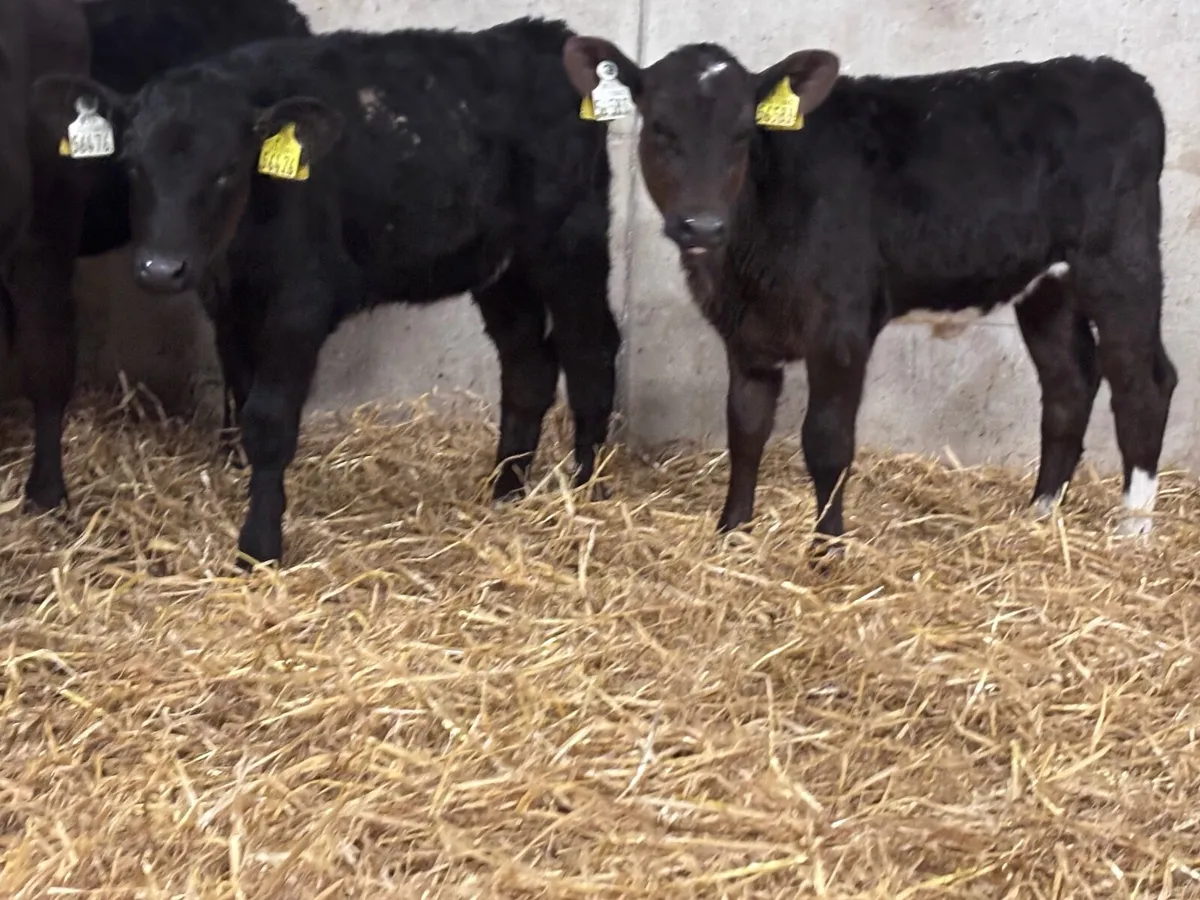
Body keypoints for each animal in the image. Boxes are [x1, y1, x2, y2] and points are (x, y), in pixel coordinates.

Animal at [33, 17, 621, 568]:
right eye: (132, 165)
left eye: (226, 170)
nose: (160, 269)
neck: (241, 242)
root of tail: (544, 35)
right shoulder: (229, 306)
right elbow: (244, 400)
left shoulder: (301, 303)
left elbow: (269, 419)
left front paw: (259, 548)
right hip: (501, 267)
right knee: (528, 365)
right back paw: (505, 491)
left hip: (572, 246)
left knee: (591, 353)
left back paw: (587, 488)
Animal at [562, 36, 1176, 554]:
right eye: (660, 128)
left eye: (743, 134)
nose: (702, 226)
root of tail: (1111, 72)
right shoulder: (746, 335)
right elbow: (746, 428)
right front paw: (732, 531)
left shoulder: (841, 325)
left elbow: (828, 440)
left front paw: (827, 547)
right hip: (1047, 286)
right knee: (1070, 383)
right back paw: (1040, 513)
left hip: (1120, 261)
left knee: (1143, 383)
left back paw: (1133, 532)